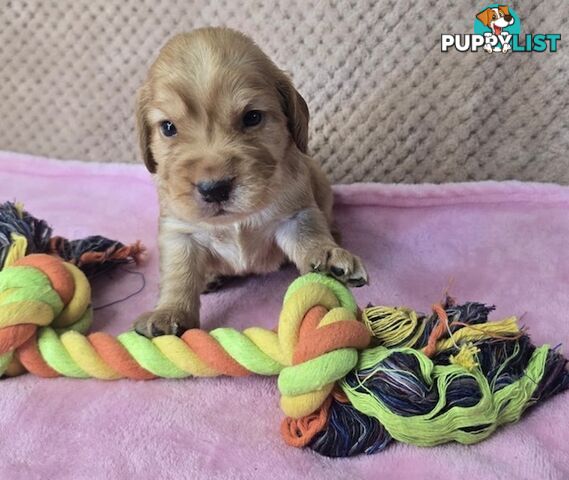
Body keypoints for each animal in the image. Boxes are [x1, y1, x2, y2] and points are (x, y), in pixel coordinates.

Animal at [134, 27, 368, 338]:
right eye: (168, 127)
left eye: (252, 117)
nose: (214, 189)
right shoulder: (179, 231)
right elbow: (178, 274)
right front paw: (169, 311)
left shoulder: (295, 214)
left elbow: (309, 236)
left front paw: (328, 257)